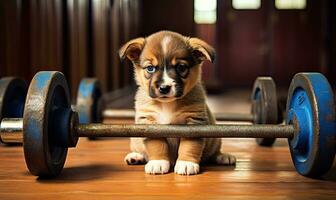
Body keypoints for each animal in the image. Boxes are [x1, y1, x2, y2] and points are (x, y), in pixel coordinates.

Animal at [119, 30, 235, 175]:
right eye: (150, 68)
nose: (164, 88)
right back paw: (135, 156)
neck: (167, 104)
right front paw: (158, 162)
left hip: (215, 139)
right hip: (135, 140)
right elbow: (156, 145)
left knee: (214, 152)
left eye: (181, 67)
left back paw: (223, 157)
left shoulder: (194, 122)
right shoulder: (149, 123)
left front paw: (186, 163)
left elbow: (189, 145)